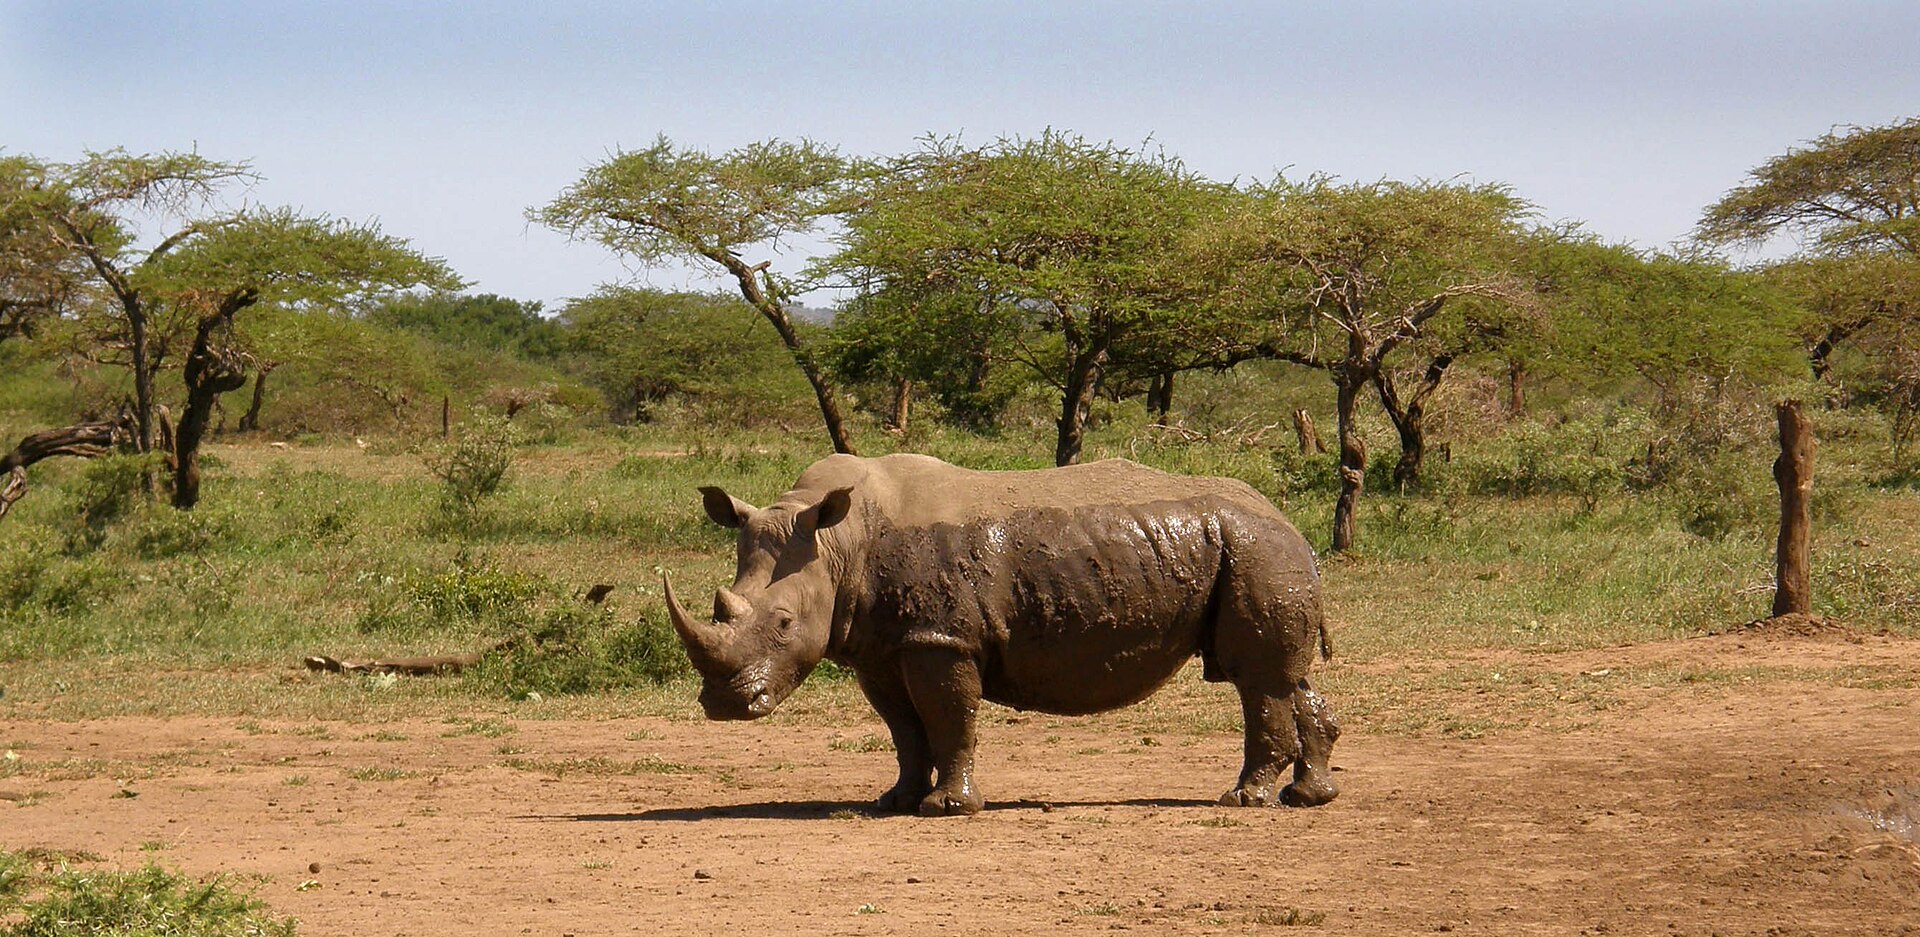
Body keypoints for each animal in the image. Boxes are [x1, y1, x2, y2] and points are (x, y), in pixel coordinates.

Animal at [663, 453, 1340, 816]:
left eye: (783, 624)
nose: (724, 705)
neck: (837, 543)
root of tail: (1287, 520)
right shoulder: (882, 646)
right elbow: (904, 729)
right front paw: (895, 801)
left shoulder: (941, 638)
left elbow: (948, 717)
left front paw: (947, 809)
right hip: (1259, 552)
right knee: (1290, 677)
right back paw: (1308, 797)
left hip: (1256, 549)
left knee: (1256, 679)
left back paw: (1243, 800)